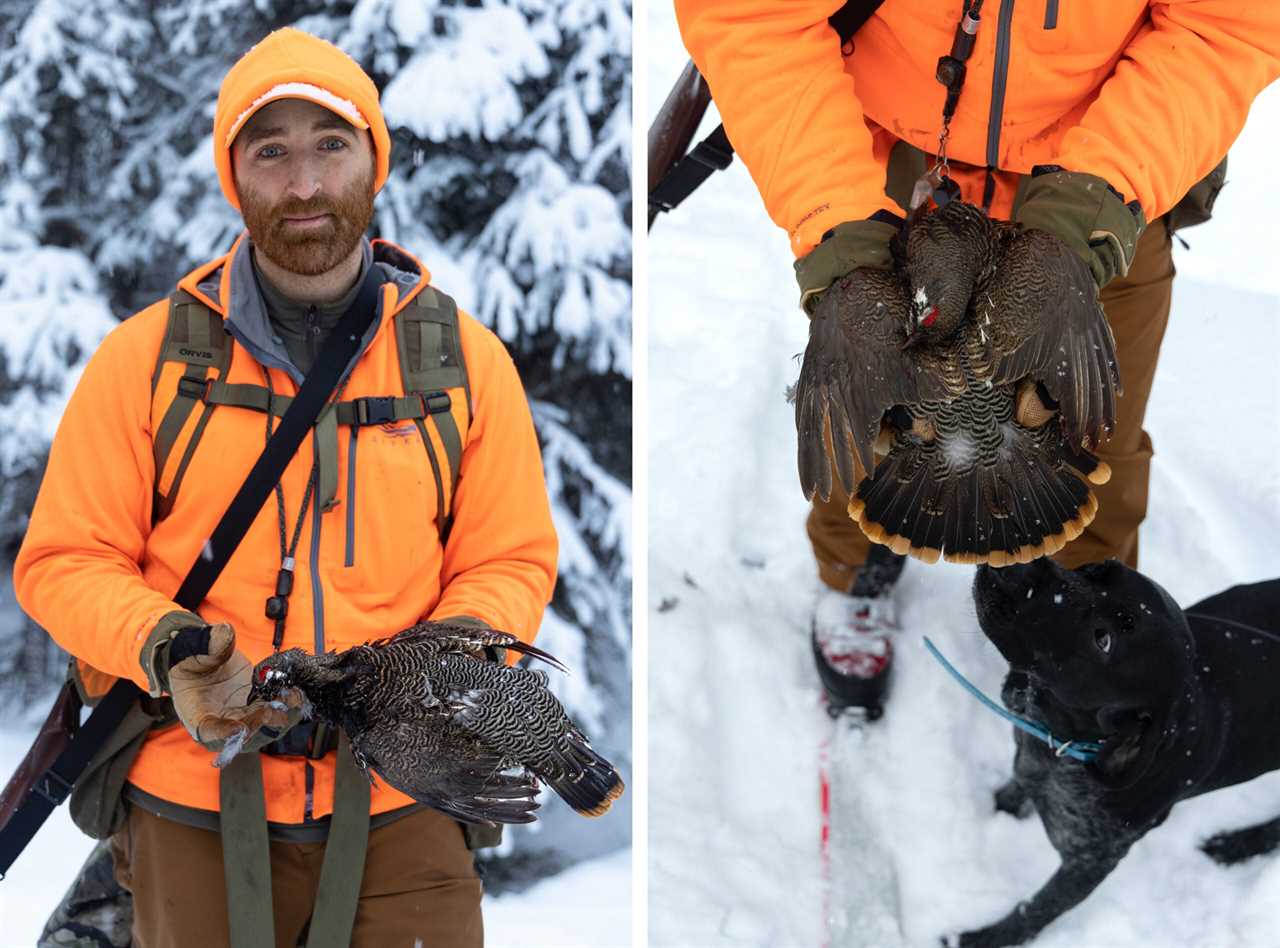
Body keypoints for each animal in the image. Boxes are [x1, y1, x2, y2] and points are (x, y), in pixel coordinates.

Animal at [957, 557, 1280, 941]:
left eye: (1103, 640)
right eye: (1095, 570)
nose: (1016, 566)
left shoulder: (1091, 863)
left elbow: (1035, 911)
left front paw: (980, 939)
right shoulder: (1032, 760)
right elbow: (1018, 783)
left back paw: (1239, 845)